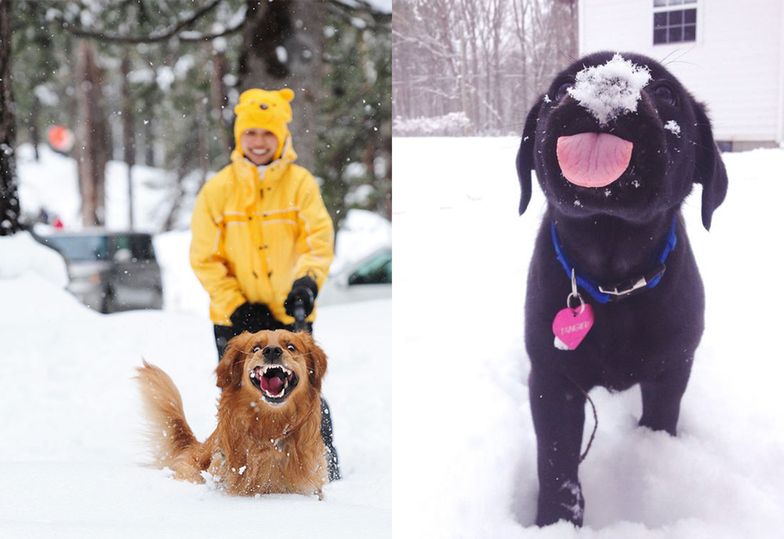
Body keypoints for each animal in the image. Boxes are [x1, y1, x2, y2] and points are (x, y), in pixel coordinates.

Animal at [516, 51, 724, 528]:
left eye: (665, 92)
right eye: (562, 86)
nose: (608, 79)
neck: (613, 281)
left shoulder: (671, 370)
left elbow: (661, 419)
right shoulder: (553, 380)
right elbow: (556, 462)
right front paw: (555, 522)